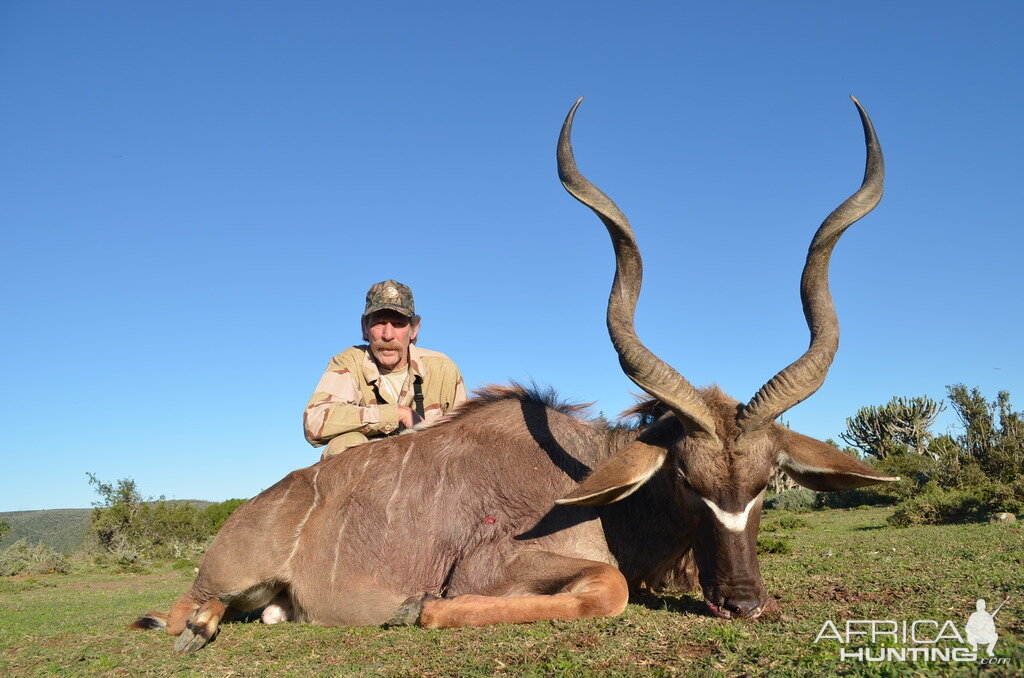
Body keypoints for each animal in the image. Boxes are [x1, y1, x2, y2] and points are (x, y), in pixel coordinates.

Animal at [136, 96, 897, 655]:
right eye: (685, 478)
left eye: (768, 482)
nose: (745, 604)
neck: (594, 485)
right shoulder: (501, 565)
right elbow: (609, 589)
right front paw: (419, 607)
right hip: (228, 579)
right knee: (182, 610)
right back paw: (193, 628)